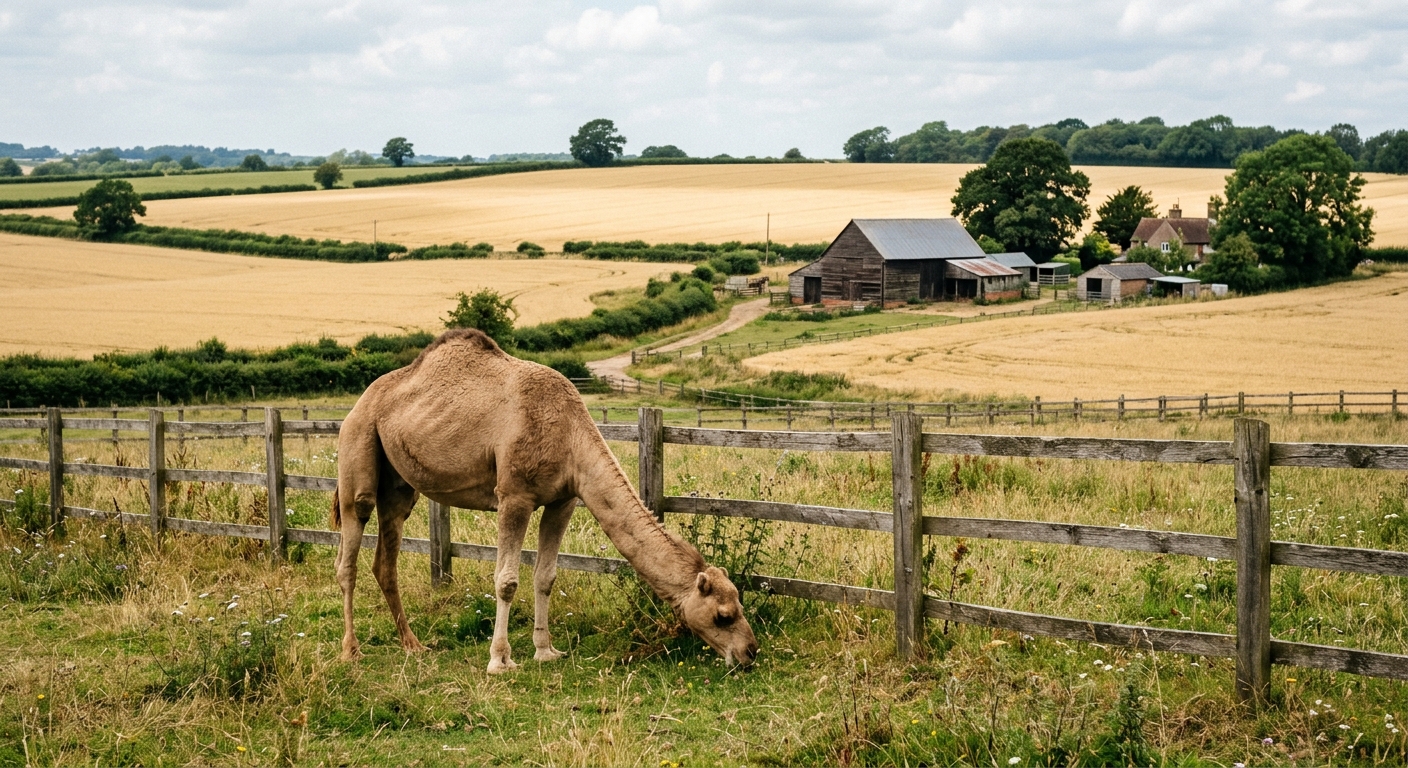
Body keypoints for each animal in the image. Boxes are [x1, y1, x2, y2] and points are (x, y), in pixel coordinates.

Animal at [329, 328, 758, 673]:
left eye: (739, 604)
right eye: (722, 615)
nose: (751, 652)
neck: (570, 434)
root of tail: (358, 404)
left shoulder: (562, 500)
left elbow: (546, 576)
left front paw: (545, 650)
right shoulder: (514, 495)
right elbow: (506, 580)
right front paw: (500, 660)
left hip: (400, 485)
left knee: (386, 559)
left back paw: (413, 645)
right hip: (358, 448)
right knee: (349, 549)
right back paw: (351, 651)